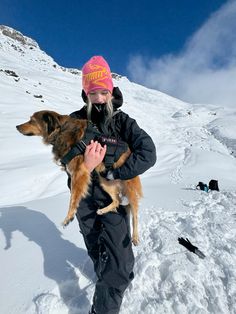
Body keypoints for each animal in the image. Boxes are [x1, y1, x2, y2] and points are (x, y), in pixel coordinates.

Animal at [16, 110, 143, 245]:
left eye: (32, 120)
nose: (17, 126)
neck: (61, 130)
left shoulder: (79, 173)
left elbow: (73, 198)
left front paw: (68, 217)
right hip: (104, 181)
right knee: (117, 200)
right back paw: (102, 210)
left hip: (129, 187)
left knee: (135, 213)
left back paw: (135, 236)